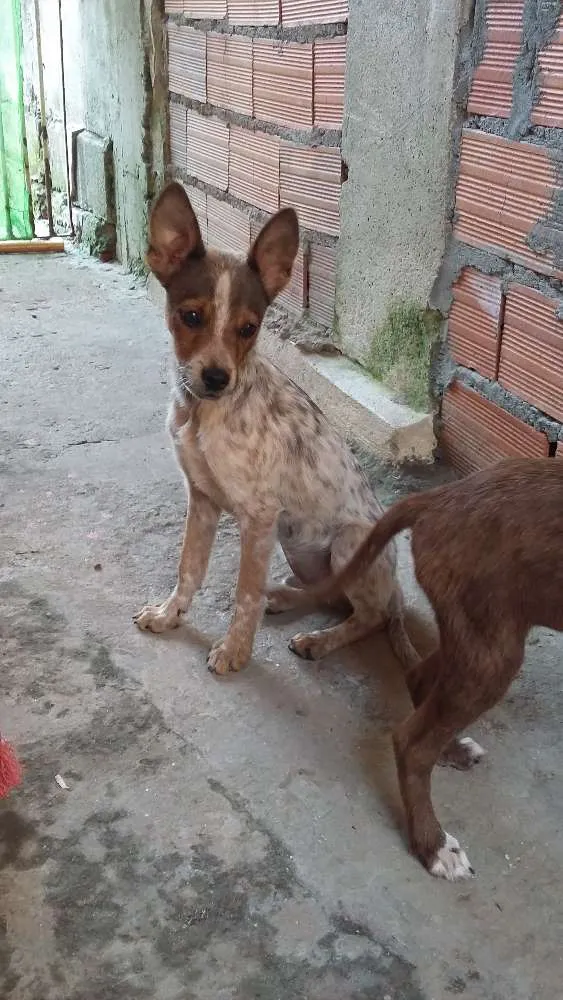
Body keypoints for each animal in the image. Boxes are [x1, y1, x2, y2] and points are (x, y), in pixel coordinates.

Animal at [134, 182, 424, 680]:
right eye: (191, 317)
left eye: (249, 328)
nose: (217, 378)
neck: (202, 415)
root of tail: (397, 591)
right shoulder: (202, 499)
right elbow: (189, 568)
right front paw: (170, 615)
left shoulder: (259, 516)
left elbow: (244, 594)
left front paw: (234, 651)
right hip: (294, 547)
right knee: (330, 596)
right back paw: (286, 596)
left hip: (348, 544)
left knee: (368, 616)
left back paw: (319, 640)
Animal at [268, 458, 563, 880]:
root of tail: (440, 498)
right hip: (494, 645)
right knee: (412, 741)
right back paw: (432, 842)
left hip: (486, 631)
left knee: (420, 681)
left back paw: (453, 750)